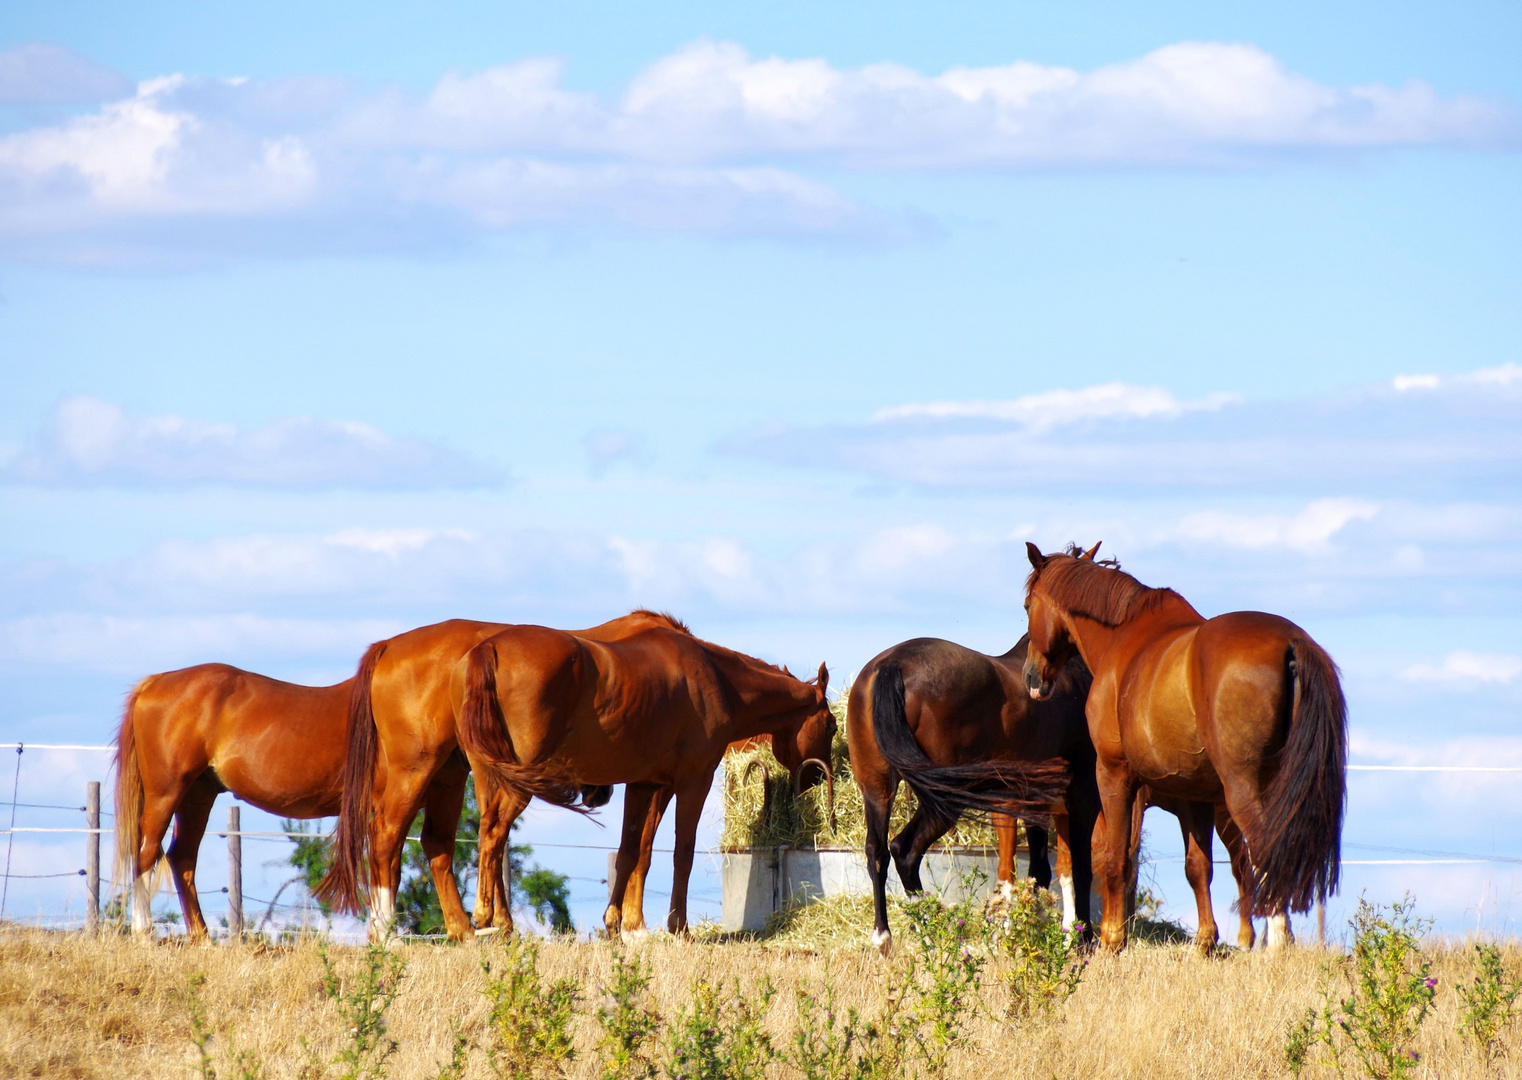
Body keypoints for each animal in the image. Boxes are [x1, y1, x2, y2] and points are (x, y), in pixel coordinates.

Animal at [315, 608, 684, 937]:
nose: (600, 793)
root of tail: (389, 646)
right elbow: (641, 849)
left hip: (450, 775)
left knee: (440, 840)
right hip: (417, 768)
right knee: (387, 834)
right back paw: (388, 929)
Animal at [444, 626, 840, 937]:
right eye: (832, 725)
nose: (818, 778)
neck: (713, 678)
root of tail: (488, 649)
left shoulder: (646, 785)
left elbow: (633, 853)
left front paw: (618, 925)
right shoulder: (693, 781)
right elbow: (682, 852)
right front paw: (678, 927)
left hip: (491, 776)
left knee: (488, 831)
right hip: (517, 783)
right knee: (494, 832)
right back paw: (485, 919)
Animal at [846, 635, 1095, 955]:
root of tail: (892, 664)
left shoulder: (1036, 800)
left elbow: (1041, 870)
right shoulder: (1083, 792)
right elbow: (1074, 866)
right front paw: (1078, 937)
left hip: (877, 787)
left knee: (878, 852)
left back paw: (888, 936)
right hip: (945, 797)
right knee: (905, 850)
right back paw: (928, 934)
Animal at [1022, 544, 1345, 949]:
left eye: (1027, 605)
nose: (1031, 677)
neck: (1125, 638)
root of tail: (1291, 643)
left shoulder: (1113, 774)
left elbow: (1114, 859)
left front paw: (1112, 939)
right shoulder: (1195, 794)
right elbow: (1198, 866)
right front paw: (1206, 942)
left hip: (1244, 792)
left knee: (1265, 856)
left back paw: (1276, 944)